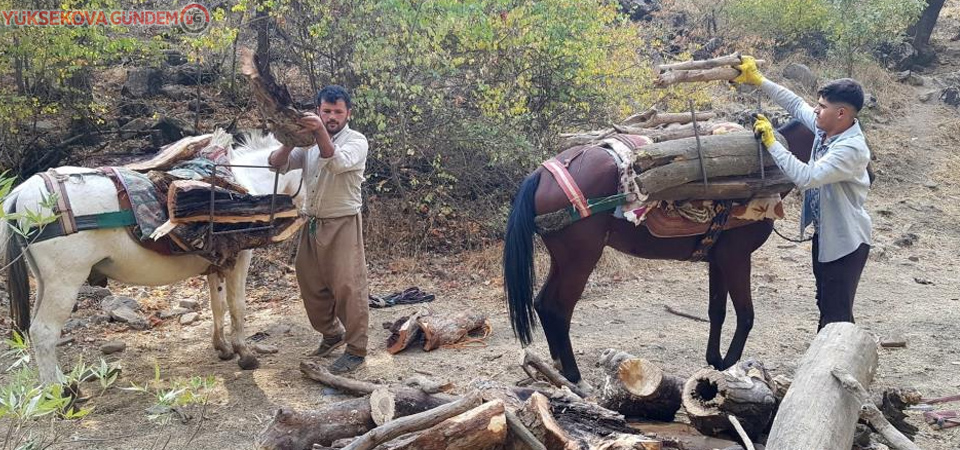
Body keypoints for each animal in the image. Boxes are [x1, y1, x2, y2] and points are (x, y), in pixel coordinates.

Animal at [0, 132, 296, 384]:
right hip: (65, 282)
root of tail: (20, 192)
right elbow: (237, 307)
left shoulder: (217, 265)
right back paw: (58, 392)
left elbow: (218, 306)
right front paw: (245, 354)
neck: (248, 185)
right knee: (44, 331)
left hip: (44, 281)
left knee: (36, 330)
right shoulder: (240, 260)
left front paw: (222, 348)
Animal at [506, 119, 812, 384]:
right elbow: (746, 316)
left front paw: (714, 360)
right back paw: (573, 375)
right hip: (580, 261)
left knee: (542, 303)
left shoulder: (718, 260)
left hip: (562, 259)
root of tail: (542, 174)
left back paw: (557, 367)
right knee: (559, 309)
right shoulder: (737, 257)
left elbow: (717, 311)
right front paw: (729, 365)